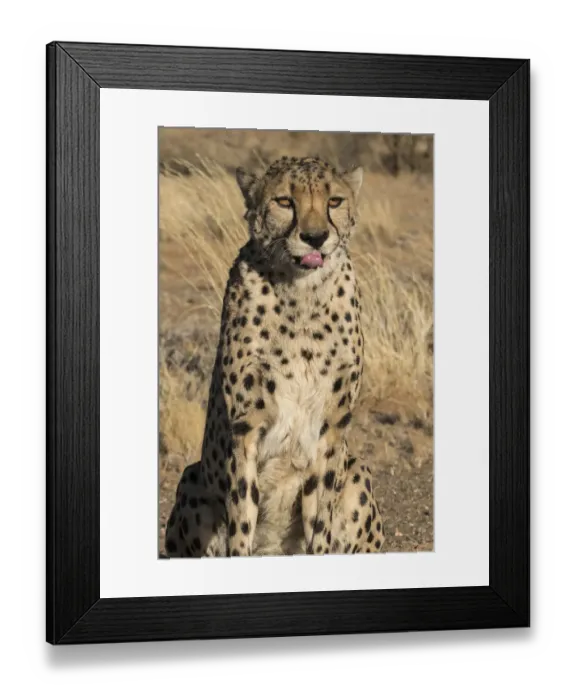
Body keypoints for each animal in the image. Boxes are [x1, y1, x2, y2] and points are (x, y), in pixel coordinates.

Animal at [164, 156, 385, 558]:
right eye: (284, 201)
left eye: (334, 201)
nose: (315, 237)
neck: (302, 294)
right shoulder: (246, 425)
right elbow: (242, 516)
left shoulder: (331, 425)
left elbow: (321, 520)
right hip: (191, 479)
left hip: (358, 471)